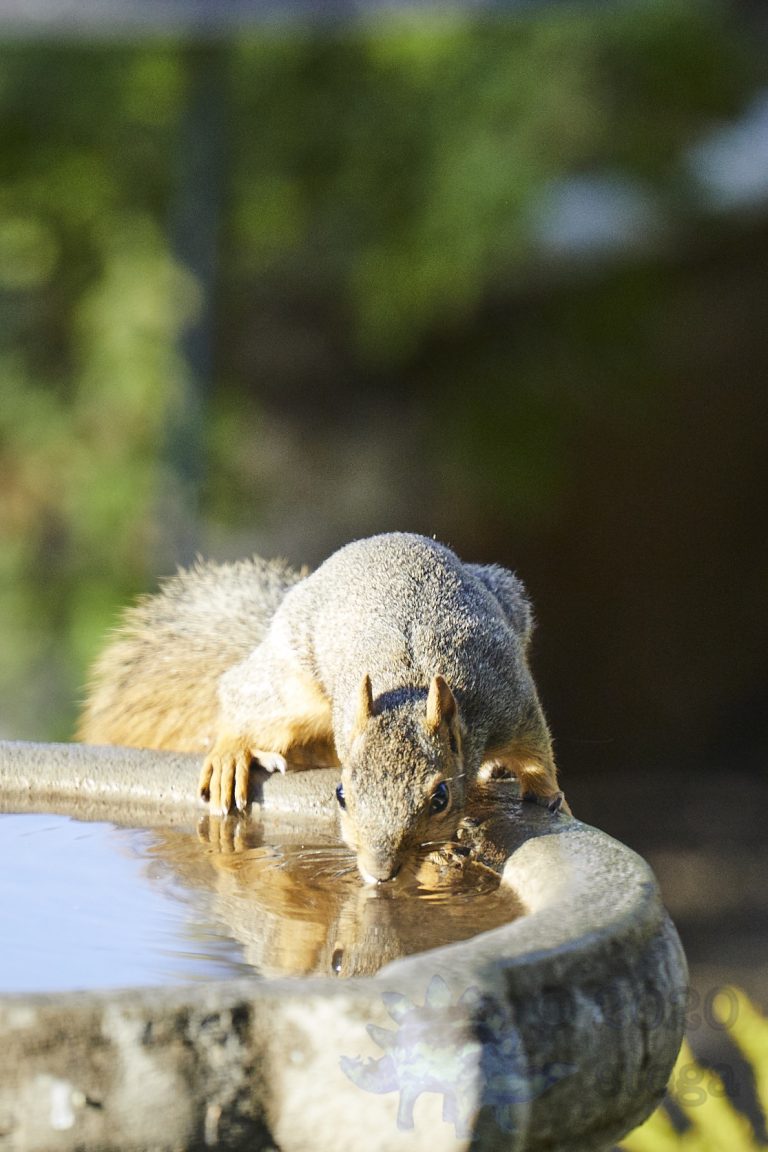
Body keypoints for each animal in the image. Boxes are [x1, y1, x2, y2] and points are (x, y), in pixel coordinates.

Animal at [78, 533, 568, 884]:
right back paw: (231, 753)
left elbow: (535, 751)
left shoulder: (508, 698)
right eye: (341, 795)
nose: (378, 874)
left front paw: (548, 796)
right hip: (294, 690)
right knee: (238, 697)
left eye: (440, 798)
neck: (412, 681)